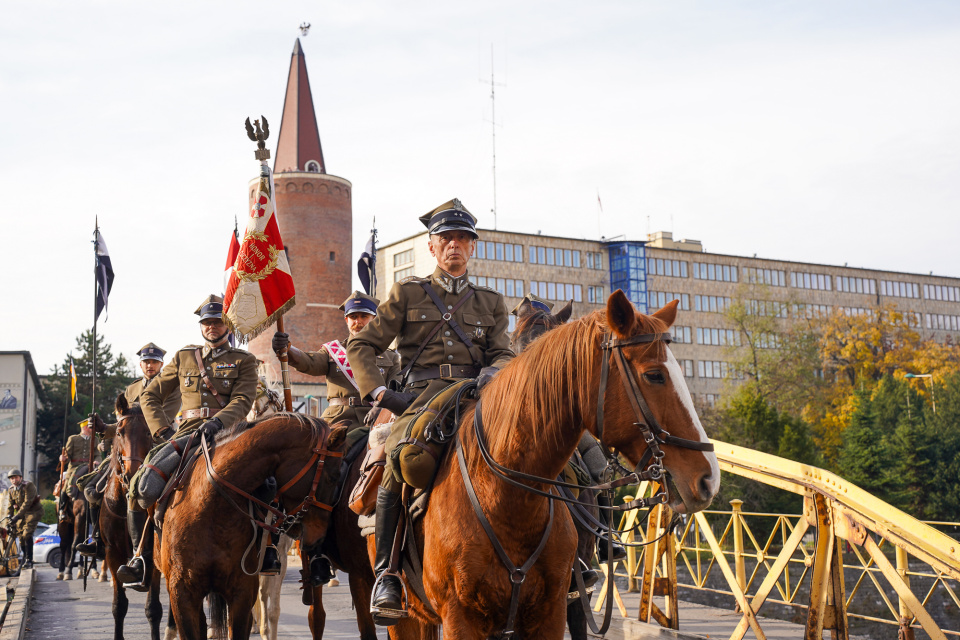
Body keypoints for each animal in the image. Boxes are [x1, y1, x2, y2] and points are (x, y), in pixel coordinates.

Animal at [99, 396, 165, 640]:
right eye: (120, 432)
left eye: (148, 432)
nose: (132, 473)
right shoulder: (112, 553)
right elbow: (119, 606)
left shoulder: (154, 556)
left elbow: (153, 609)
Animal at [390, 292, 720, 640]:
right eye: (654, 374)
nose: (708, 478)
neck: (506, 499)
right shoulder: (460, 617)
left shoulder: (554, 608)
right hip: (406, 617)